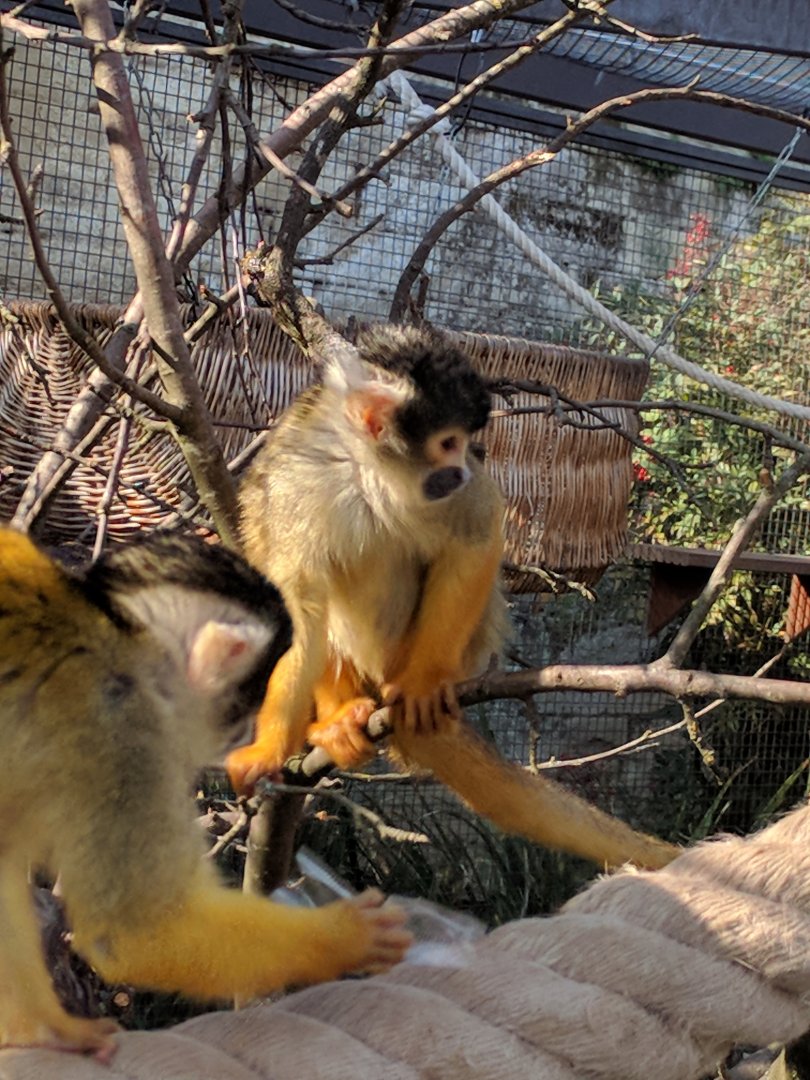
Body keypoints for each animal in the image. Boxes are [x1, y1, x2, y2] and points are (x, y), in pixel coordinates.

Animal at [0, 528, 411, 1058]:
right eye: (250, 694)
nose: (243, 730)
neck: (121, 635)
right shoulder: (122, 730)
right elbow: (134, 932)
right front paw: (344, 937)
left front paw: (46, 1032)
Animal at [228, 323, 679, 871]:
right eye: (447, 442)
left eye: (465, 444)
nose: (463, 468)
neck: (365, 469)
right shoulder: (295, 486)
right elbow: (301, 612)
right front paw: (268, 750)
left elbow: (475, 537)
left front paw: (422, 682)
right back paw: (341, 713)